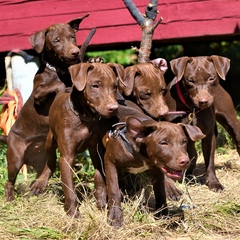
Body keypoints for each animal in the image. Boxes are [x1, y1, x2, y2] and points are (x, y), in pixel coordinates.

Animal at [4, 15, 91, 201]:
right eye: (56, 40)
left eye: (73, 36)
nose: (75, 52)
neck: (61, 71)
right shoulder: (38, 95)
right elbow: (54, 86)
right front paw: (62, 86)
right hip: (15, 157)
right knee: (10, 180)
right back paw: (9, 198)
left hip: (42, 157)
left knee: (44, 170)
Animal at [29, 62, 123, 218]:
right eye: (95, 85)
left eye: (115, 86)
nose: (114, 108)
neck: (84, 117)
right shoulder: (66, 157)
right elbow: (69, 187)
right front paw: (72, 212)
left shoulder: (95, 148)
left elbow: (99, 174)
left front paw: (101, 198)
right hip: (50, 140)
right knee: (51, 161)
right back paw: (40, 183)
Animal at [165, 55, 231, 198]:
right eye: (190, 80)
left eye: (211, 78)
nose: (203, 101)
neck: (192, 108)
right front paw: (170, 187)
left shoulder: (209, 135)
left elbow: (210, 161)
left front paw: (214, 183)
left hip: (229, 119)